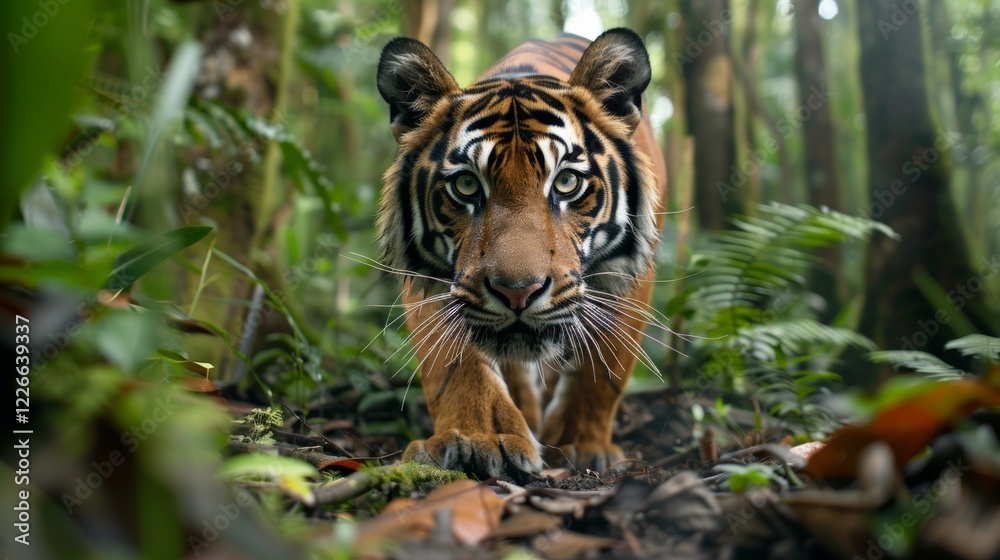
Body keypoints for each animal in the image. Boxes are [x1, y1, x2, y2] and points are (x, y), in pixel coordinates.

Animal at [375, 27, 668, 479]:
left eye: (566, 182)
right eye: (466, 186)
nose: (518, 292)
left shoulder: (629, 274)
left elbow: (604, 367)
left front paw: (582, 444)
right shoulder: (435, 278)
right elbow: (453, 363)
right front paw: (477, 437)